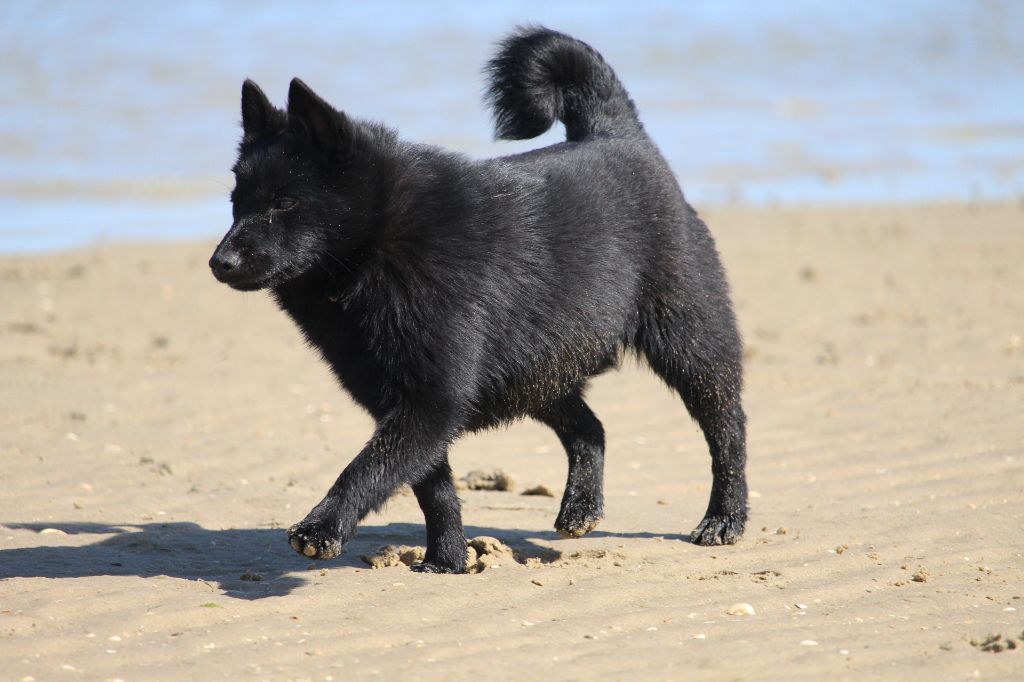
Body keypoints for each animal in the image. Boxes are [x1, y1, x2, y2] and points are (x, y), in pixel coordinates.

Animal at [209, 26, 753, 569]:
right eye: (237, 202)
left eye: (284, 203)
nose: (220, 262)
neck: (381, 241)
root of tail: (617, 135)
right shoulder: (406, 404)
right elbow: (432, 488)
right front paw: (446, 560)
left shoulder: (431, 402)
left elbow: (368, 467)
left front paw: (322, 527)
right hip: (536, 369)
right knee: (590, 428)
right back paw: (580, 507)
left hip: (689, 344)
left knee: (727, 428)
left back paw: (724, 519)